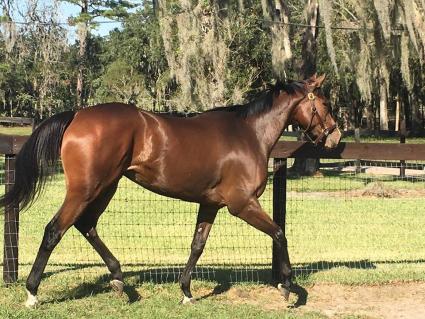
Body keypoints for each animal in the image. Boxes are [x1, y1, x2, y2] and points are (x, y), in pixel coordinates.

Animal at [0, 74, 338, 308]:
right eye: (324, 104)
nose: (335, 137)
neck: (248, 134)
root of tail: (78, 115)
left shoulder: (210, 204)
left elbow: (197, 245)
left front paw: (186, 292)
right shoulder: (241, 204)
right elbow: (279, 233)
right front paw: (287, 286)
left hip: (106, 187)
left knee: (86, 225)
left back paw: (119, 279)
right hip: (85, 190)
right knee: (55, 229)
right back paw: (32, 293)